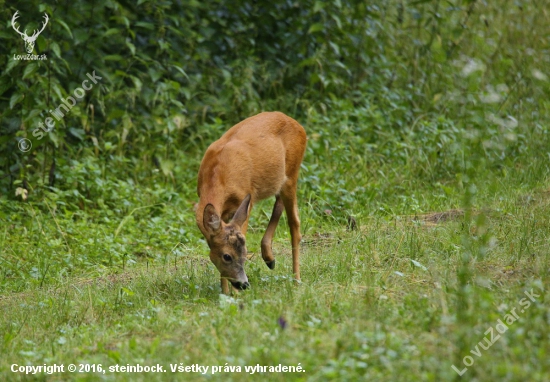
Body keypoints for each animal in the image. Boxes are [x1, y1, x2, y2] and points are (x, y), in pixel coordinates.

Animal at [197, 112, 310, 294]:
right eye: (227, 256)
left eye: (245, 253)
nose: (243, 284)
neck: (217, 177)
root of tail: (297, 124)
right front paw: (225, 292)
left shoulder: (246, 198)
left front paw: (234, 294)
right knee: (279, 203)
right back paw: (269, 258)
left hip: (292, 173)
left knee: (294, 223)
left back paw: (296, 279)